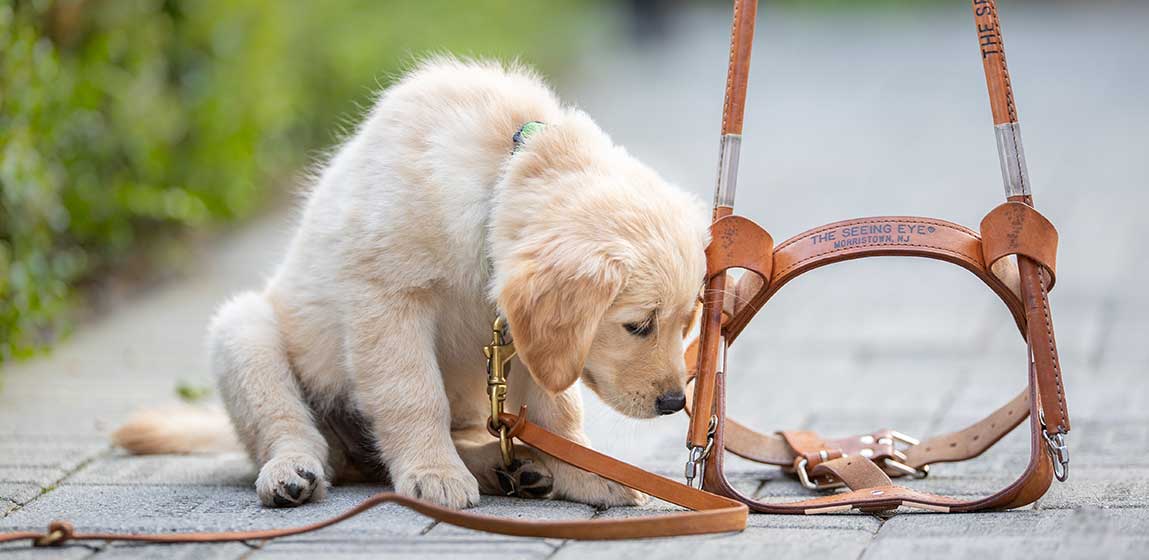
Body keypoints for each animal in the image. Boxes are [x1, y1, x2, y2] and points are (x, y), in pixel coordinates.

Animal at [116, 59, 707, 510]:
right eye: (639, 326)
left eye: (687, 323)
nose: (675, 402)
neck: (496, 176)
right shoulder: (388, 298)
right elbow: (413, 394)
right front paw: (432, 473)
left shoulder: (524, 338)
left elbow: (556, 411)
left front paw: (588, 474)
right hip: (243, 330)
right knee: (291, 429)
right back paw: (291, 472)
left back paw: (512, 468)